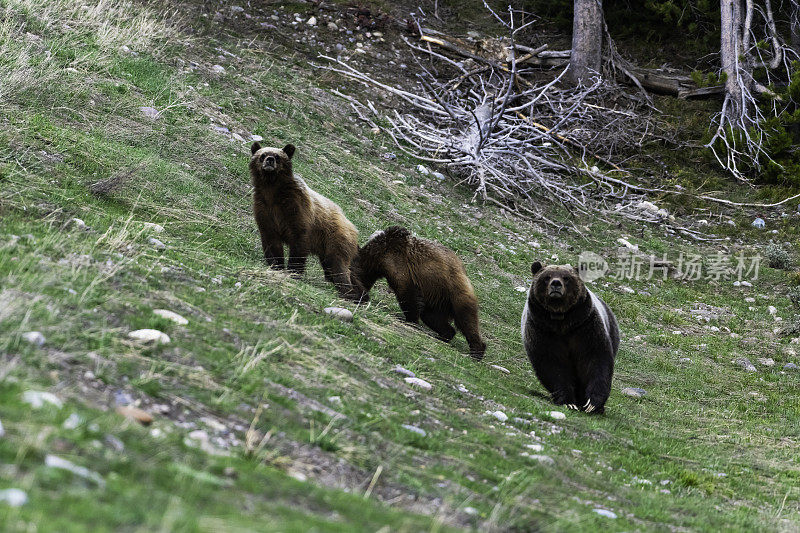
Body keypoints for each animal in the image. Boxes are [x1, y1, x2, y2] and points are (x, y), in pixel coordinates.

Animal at [250, 141, 362, 300]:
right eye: (263, 154)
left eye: (278, 156)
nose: (270, 160)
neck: (273, 191)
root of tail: (353, 227)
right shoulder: (264, 210)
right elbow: (271, 241)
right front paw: (276, 265)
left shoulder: (297, 210)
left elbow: (299, 242)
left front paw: (293, 271)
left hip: (336, 239)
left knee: (339, 267)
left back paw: (348, 292)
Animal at [352, 227, 488, 360]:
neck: (378, 256)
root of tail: (463, 271)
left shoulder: (400, 266)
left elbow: (407, 294)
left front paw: (410, 320)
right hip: (438, 300)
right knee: (432, 317)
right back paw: (445, 335)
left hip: (455, 293)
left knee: (467, 320)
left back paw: (477, 351)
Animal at [520, 262, 620, 416]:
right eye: (547, 277)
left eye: (566, 277)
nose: (556, 284)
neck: (561, 321)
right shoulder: (542, 331)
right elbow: (553, 366)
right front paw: (568, 401)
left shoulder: (585, 328)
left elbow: (596, 361)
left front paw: (592, 403)